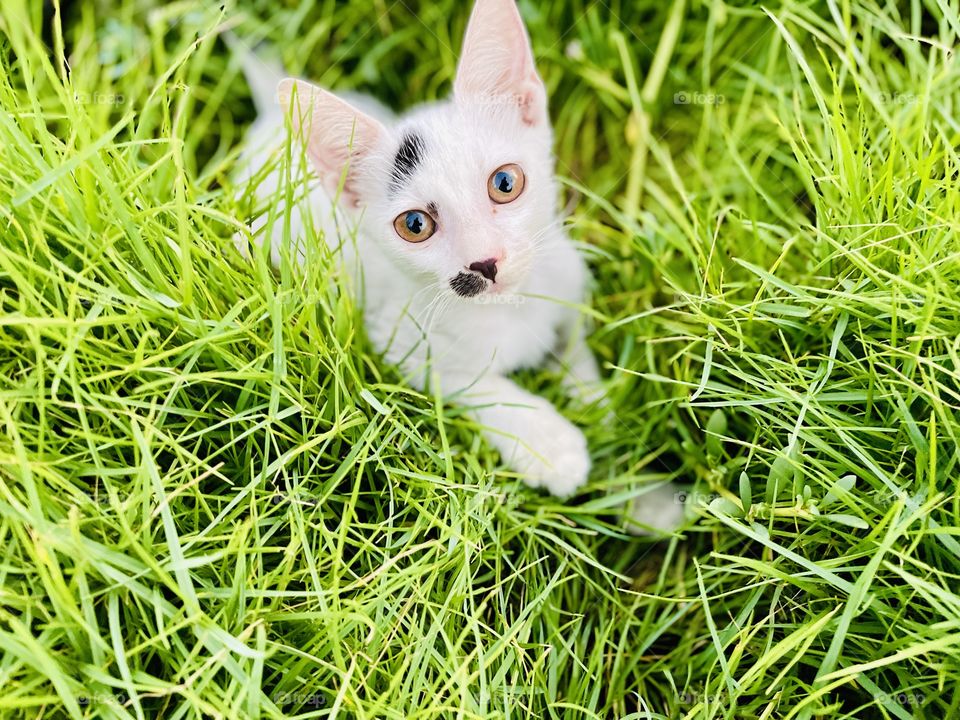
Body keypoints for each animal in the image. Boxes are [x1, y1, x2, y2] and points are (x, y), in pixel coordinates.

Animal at [232, 0, 684, 528]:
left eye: (505, 183)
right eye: (414, 224)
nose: (485, 262)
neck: (512, 310)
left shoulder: (568, 285)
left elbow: (578, 356)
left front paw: (614, 441)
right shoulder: (398, 344)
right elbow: (473, 386)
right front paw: (549, 444)